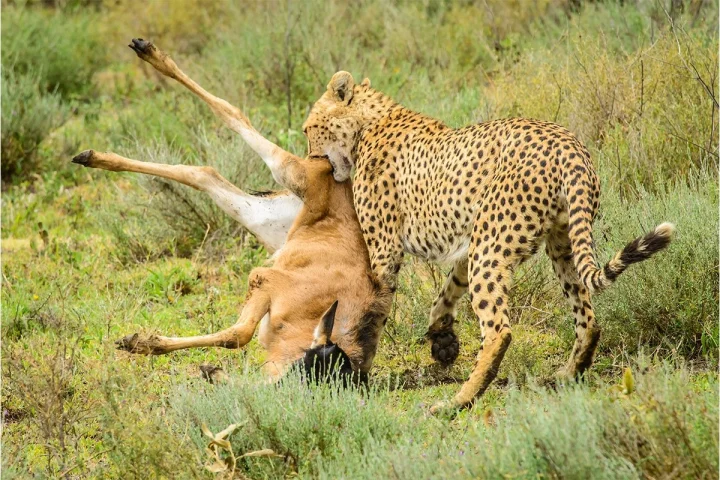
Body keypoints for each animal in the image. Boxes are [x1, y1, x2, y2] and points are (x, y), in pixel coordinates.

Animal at [74, 41, 390, 384]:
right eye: (307, 364)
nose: (276, 386)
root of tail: (331, 167)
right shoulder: (264, 278)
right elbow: (238, 334)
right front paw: (142, 342)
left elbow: (238, 335)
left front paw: (148, 345)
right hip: (290, 172)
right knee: (233, 113)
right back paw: (146, 57)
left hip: (261, 219)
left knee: (203, 172)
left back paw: (94, 155)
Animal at [304, 71, 676, 412]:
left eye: (309, 129)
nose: (309, 159)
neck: (368, 122)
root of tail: (567, 142)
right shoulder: (466, 241)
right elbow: (446, 291)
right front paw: (442, 340)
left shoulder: (385, 250)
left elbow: (371, 310)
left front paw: (359, 366)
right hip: (558, 243)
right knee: (588, 319)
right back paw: (568, 374)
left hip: (493, 248)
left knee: (499, 331)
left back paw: (459, 400)